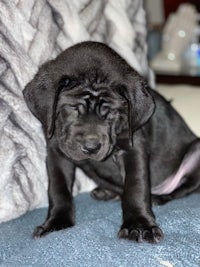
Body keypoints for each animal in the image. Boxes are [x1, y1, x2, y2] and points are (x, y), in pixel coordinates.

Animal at [23, 40, 200, 244]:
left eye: (111, 113)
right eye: (73, 108)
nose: (91, 147)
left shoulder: (133, 149)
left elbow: (135, 187)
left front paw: (139, 225)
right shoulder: (56, 151)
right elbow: (58, 189)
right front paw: (56, 223)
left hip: (196, 150)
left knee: (183, 188)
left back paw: (158, 198)